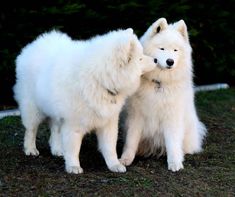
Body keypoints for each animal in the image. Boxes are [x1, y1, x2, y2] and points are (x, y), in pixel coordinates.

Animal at [13, 28, 156, 174]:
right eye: (140, 58)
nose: (155, 59)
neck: (99, 79)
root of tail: (34, 45)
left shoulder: (108, 121)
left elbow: (110, 147)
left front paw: (114, 165)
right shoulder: (73, 124)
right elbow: (73, 148)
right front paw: (73, 166)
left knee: (55, 130)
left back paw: (57, 150)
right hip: (32, 108)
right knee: (31, 130)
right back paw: (31, 149)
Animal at [120, 18, 207, 172]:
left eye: (175, 50)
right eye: (162, 49)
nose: (170, 61)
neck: (159, 83)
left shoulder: (172, 117)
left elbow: (173, 142)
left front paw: (175, 162)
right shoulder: (136, 116)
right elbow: (131, 140)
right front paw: (126, 159)